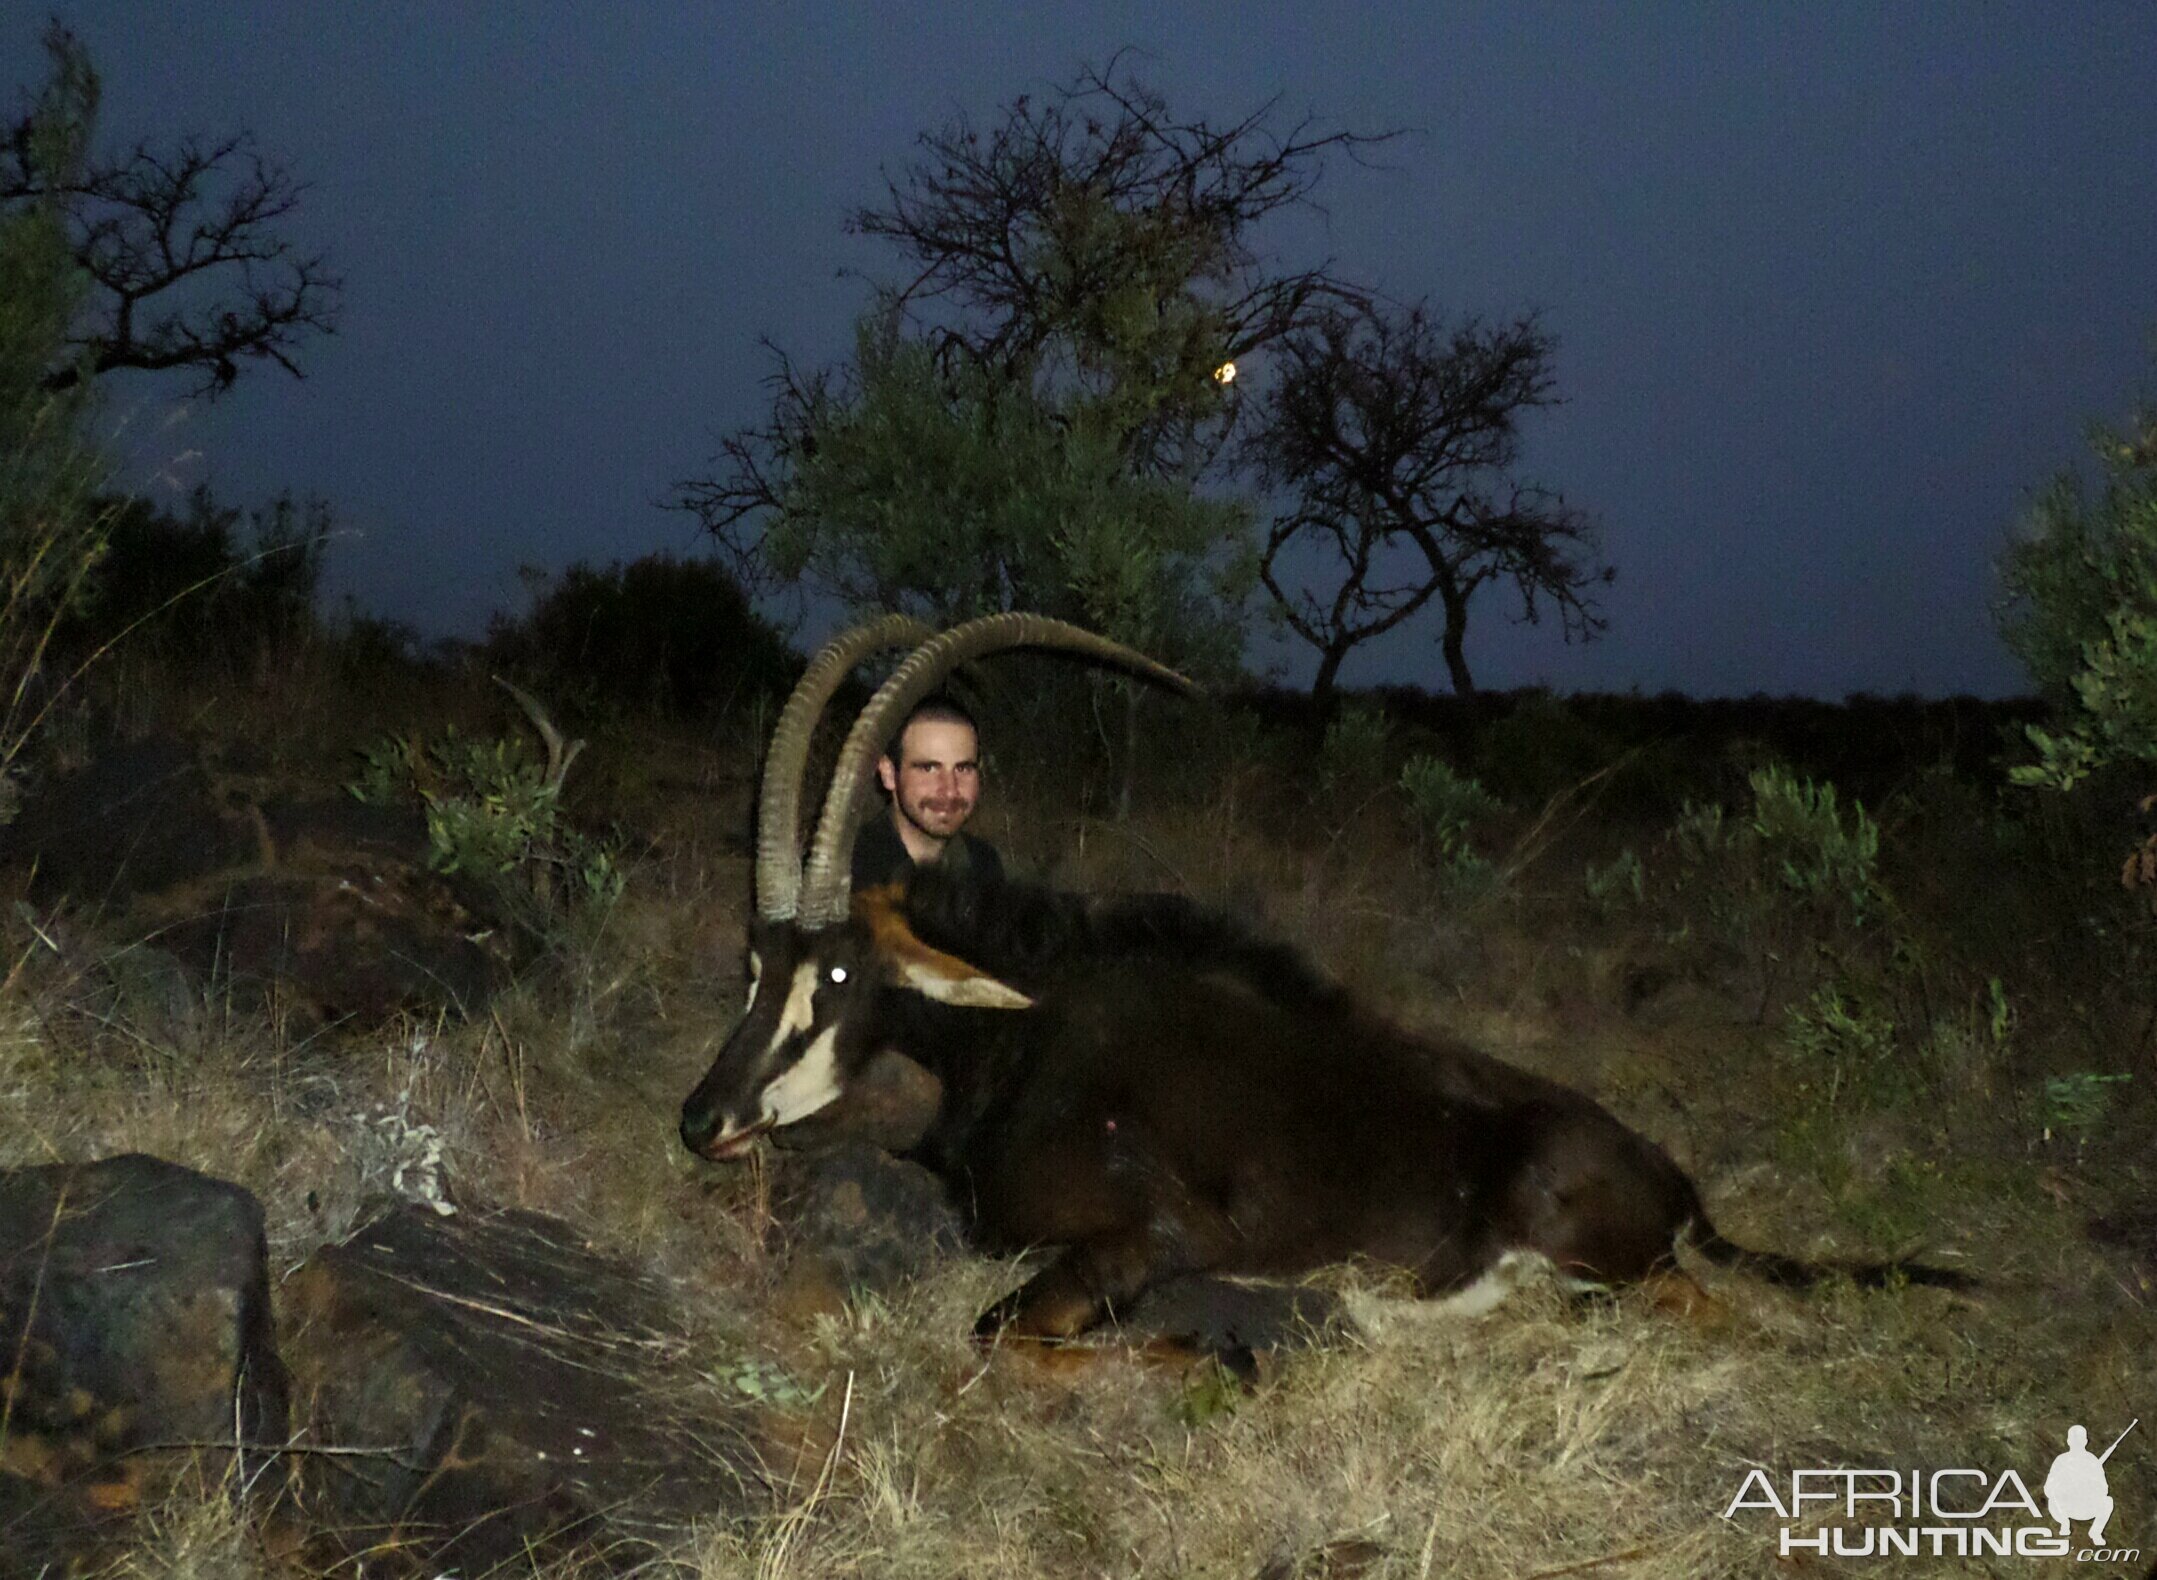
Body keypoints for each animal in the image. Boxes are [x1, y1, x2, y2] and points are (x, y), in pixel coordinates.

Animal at [681, 617, 1967, 1346]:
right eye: (754, 962)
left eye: (837, 968)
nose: (700, 1118)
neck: (1023, 1040)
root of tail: (1673, 1174)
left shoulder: (1156, 1237)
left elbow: (1003, 1334)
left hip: (1595, 1240)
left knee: (1699, 1309)